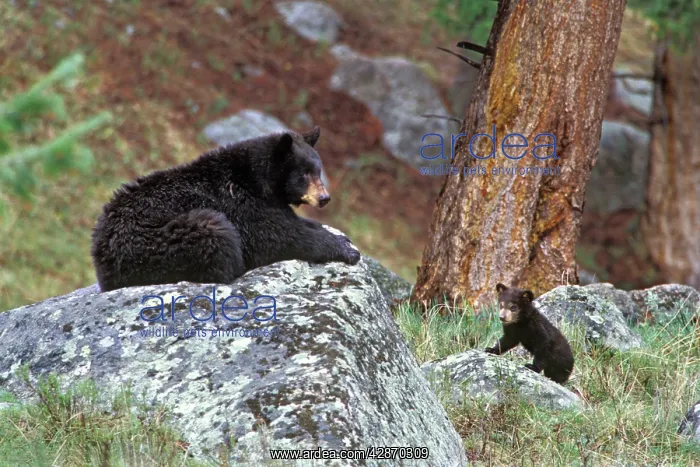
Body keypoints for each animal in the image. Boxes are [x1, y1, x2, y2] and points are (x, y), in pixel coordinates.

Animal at [91, 126, 361, 292]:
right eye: (303, 174)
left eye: (318, 170)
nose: (325, 198)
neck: (255, 180)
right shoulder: (240, 204)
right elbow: (276, 237)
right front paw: (344, 248)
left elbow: (291, 222)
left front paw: (336, 234)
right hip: (167, 240)